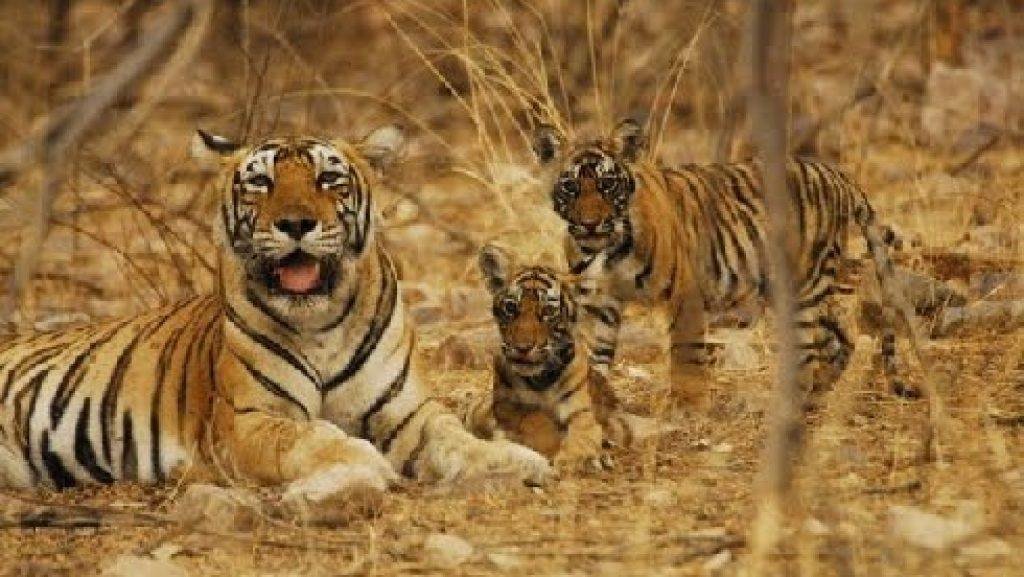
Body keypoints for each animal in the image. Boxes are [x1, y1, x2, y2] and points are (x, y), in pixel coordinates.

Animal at [0, 125, 552, 504]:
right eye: (261, 183)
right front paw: (363, 459)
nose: (296, 223)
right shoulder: (248, 421)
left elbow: (454, 438)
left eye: (329, 179)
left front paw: (514, 459)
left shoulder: (407, 411)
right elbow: (310, 438)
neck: (323, 323)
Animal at [464, 241, 653, 472]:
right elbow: (535, 419)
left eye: (547, 310)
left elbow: (583, 433)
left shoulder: (582, 412)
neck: (541, 380)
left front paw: (577, 458)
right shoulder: (507, 406)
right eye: (511, 307)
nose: (522, 347)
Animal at [531, 118, 914, 407]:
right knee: (839, 341)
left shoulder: (685, 294)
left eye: (608, 185)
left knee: (814, 349)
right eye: (570, 187)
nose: (590, 223)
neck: (605, 250)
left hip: (805, 285)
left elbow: (685, 354)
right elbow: (592, 361)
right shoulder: (600, 305)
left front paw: (686, 410)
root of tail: (836, 174)